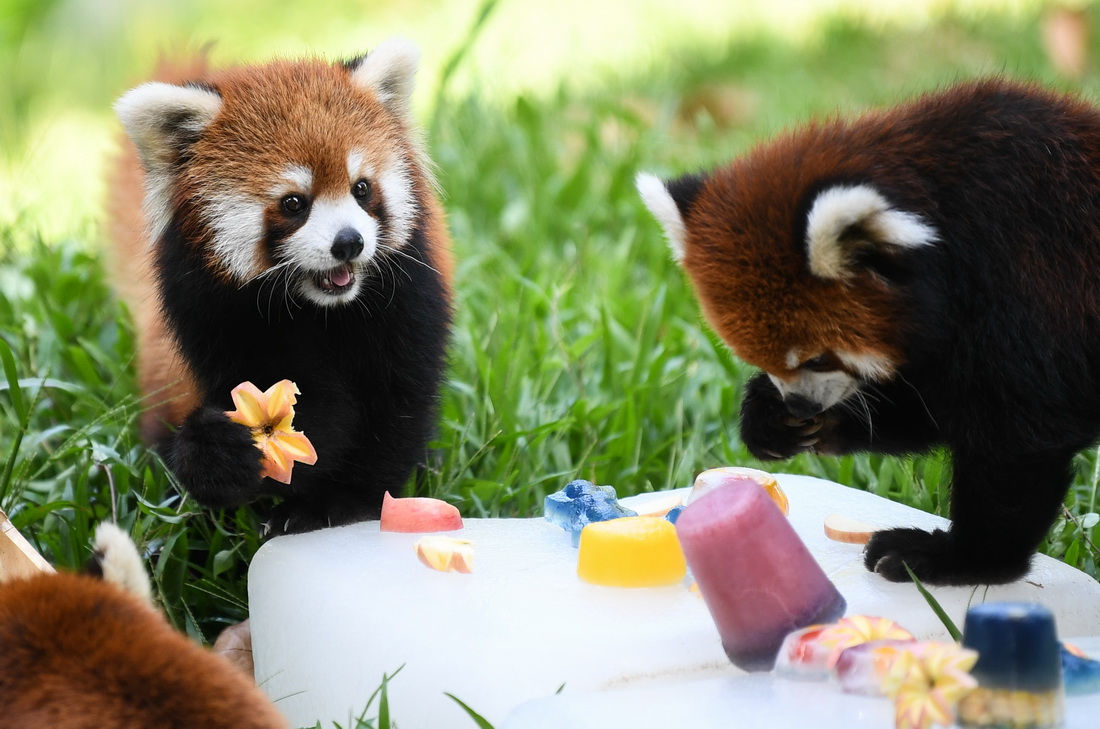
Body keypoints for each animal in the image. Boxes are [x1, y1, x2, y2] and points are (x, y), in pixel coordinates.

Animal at [109, 39, 453, 534]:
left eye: (362, 189)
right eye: (294, 203)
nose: (349, 243)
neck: (321, 309)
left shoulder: (406, 302)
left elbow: (395, 404)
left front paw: (344, 502)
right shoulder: (217, 316)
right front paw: (225, 459)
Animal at [642, 76, 1100, 584]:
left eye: (818, 358)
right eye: (756, 359)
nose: (799, 405)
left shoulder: (1030, 289)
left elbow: (1017, 441)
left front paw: (963, 558)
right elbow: (933, 406)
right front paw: (772, 418)